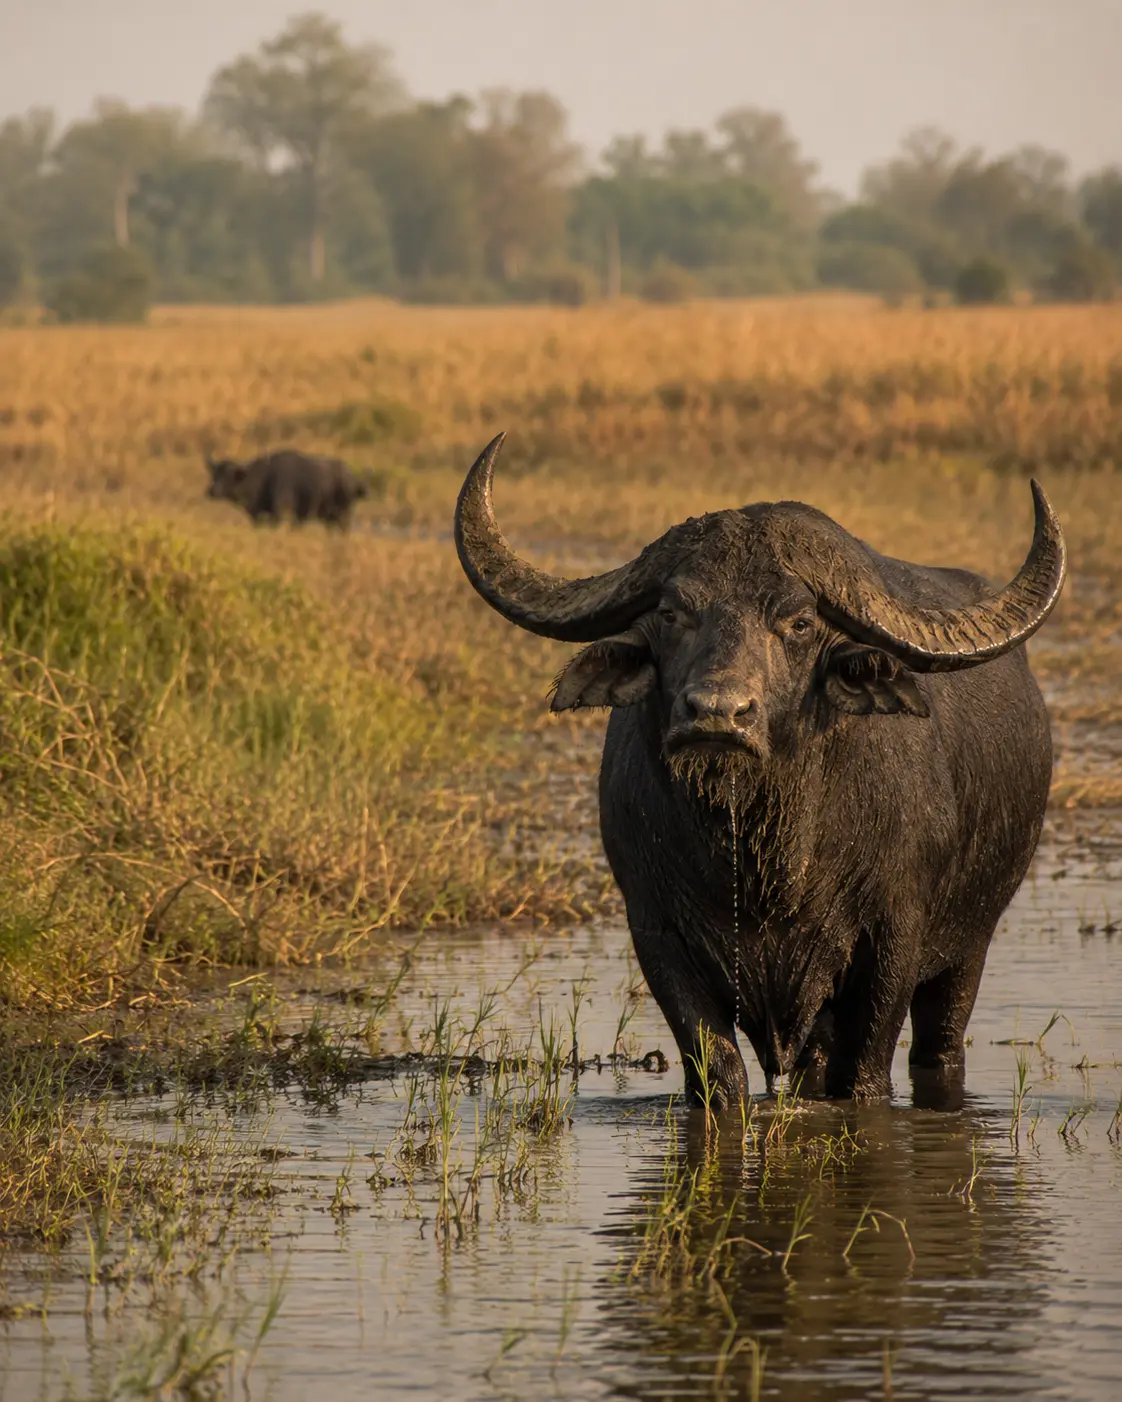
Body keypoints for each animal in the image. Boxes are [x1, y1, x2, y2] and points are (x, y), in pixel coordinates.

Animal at [205, 449, 369, 528]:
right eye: (215, 474)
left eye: (229, 475)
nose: (212, 491)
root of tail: (353, 477)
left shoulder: (281, 513)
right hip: (330, 518)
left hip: (344, 516)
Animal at [455, 433, 1066, 1106]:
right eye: (672, 613)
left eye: (798, 621)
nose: (717, 713)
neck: (762, 854)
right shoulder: (658, 935)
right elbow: (717, 1073)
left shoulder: (895, 941)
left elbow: (865, 1075)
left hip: (968, 950)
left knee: (940, 1045)